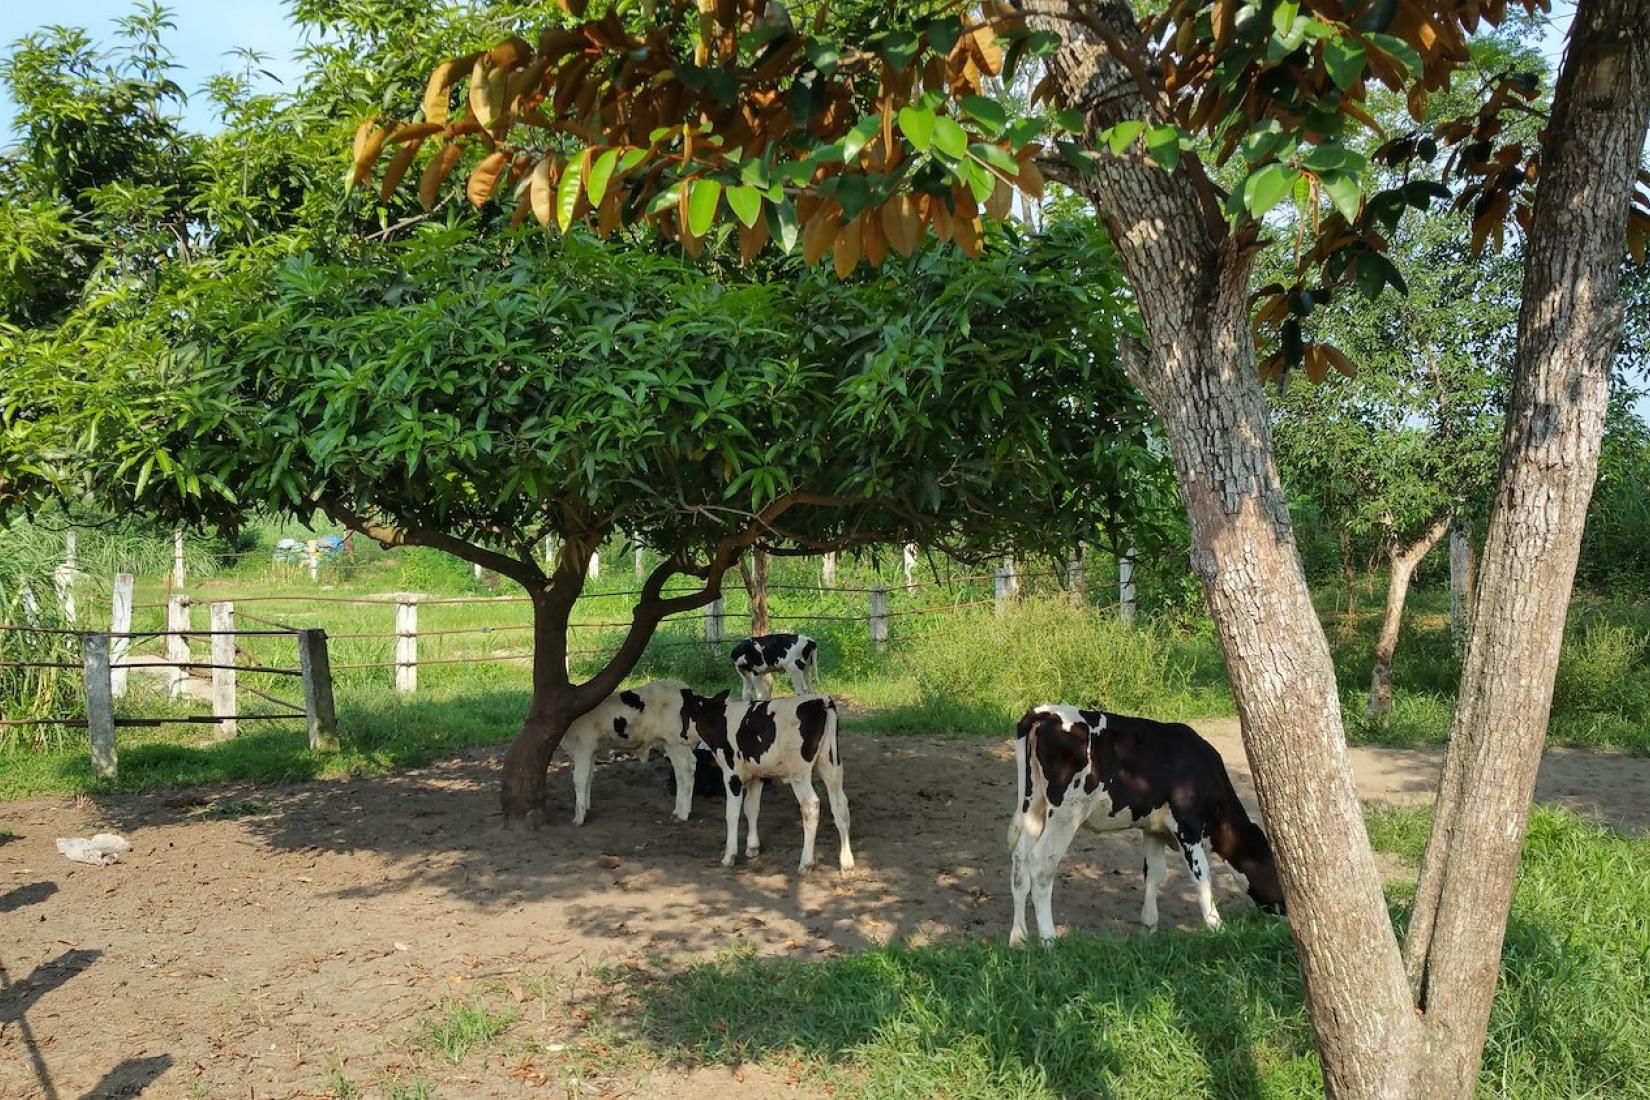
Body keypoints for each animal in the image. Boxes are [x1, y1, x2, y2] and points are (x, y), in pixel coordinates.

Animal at [564, 679, 699, 824]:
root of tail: (684, 688)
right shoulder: (591, 752)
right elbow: (589, 777)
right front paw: (586, 809)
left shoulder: (582, 749)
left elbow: (579, 780)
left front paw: (579, 817)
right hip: (670, 744)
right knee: (679, 772)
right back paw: (678, 810)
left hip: (677, 742)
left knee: (688, 768)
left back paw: (683, 814)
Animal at [673, 692, 851, 870]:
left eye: (682, 713)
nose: (681, 736)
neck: (721, 722)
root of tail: (822, 700)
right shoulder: (757, 776)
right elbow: (751, 808)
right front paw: (752, 847)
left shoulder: (732, 775)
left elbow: (732, 813)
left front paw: (729, 855)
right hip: (830, 766)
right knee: (841, 805)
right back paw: (847, 862)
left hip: (799, 773)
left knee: (810, 805)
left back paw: (806, 863)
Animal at [1003, 705, 1287, 949]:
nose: (1286, 912)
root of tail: (1045, 713)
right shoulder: (1189, 827)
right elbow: (1201, 877)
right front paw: (1217, 927)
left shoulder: (1153, 829)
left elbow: (1154, 873)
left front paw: (1148, 927)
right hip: (1066, 812)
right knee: (1041, 864)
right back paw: (1049, 940)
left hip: (1034, 805)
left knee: (1019, 861)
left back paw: (1019, 938)